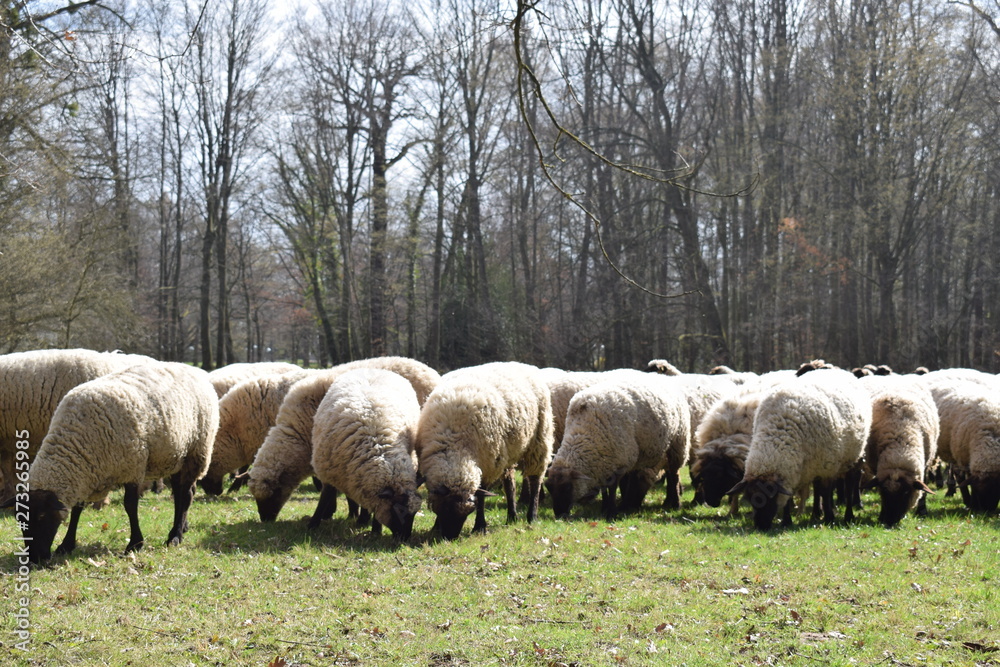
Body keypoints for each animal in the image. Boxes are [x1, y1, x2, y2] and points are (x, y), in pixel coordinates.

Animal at [21, 361, 219, 563]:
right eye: (20, 519)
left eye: (42, 516)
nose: (35, 558)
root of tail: (193, 369)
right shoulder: (86, 474)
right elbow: (77, 509)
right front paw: (66, 545)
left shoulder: (133, 467)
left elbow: (130, 506)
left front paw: (135, 544)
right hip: (176, 457)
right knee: (181, 492)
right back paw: (182, 527)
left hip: (196, 452)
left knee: (186, 494)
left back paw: (175, 536)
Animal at [309, 368, 422, 539]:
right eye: (398, 510)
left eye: (414, 513)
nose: (404, 539)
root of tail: (376, 369)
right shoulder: (328, 471)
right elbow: (325, 496)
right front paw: (313, 523)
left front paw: (376, 529)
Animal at [415, 361, 553, 539]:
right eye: (441, 509)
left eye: (467, 513)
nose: (450, 537)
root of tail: (521, 364)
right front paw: (436, 526)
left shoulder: (488, 464)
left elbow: (481, 498)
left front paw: (479, 526)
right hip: (506, 452)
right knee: (510, 485)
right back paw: (512, 516)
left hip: (539, 441)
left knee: (535, 480)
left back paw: (532, 516)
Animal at [545, 374, 691, 520]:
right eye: (549, 488)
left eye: (567, 487)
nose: (559, 514)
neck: (584, 432)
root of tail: (661, 376)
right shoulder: (604, 463)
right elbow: (604, 488)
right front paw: (605, 508)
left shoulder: (620, 460)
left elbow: (612, 487)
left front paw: (611, 511)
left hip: (677, 445)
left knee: (674, 474)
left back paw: (675, 504)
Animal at [729, 367, 872, 530]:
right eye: (750, 498)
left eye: (771, 496)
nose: (761, 525)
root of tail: (842, 371)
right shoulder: (794, 470)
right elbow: (793, 495)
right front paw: (786, 521)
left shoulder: (827, 465)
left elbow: (826, 492)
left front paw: (829, 518)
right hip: (816, 464)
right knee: (817, 487)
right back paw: (816, 513)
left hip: (852, 456)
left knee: (849, 484)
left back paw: (848, 515)